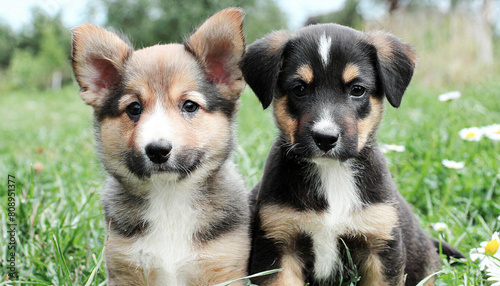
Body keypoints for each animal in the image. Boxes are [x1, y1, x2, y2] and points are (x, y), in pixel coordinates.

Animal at [70, 7, 250, 284]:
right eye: (134, 108)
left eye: (189, 105)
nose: (157, 150)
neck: (169, 197)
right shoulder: (124, 268)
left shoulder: (223, 268)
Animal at [240, 23, 462, 284]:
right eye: (299, 89)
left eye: (357, 90)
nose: (325, 138)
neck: (332, 172)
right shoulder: (279, 246)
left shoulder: (380, 247)